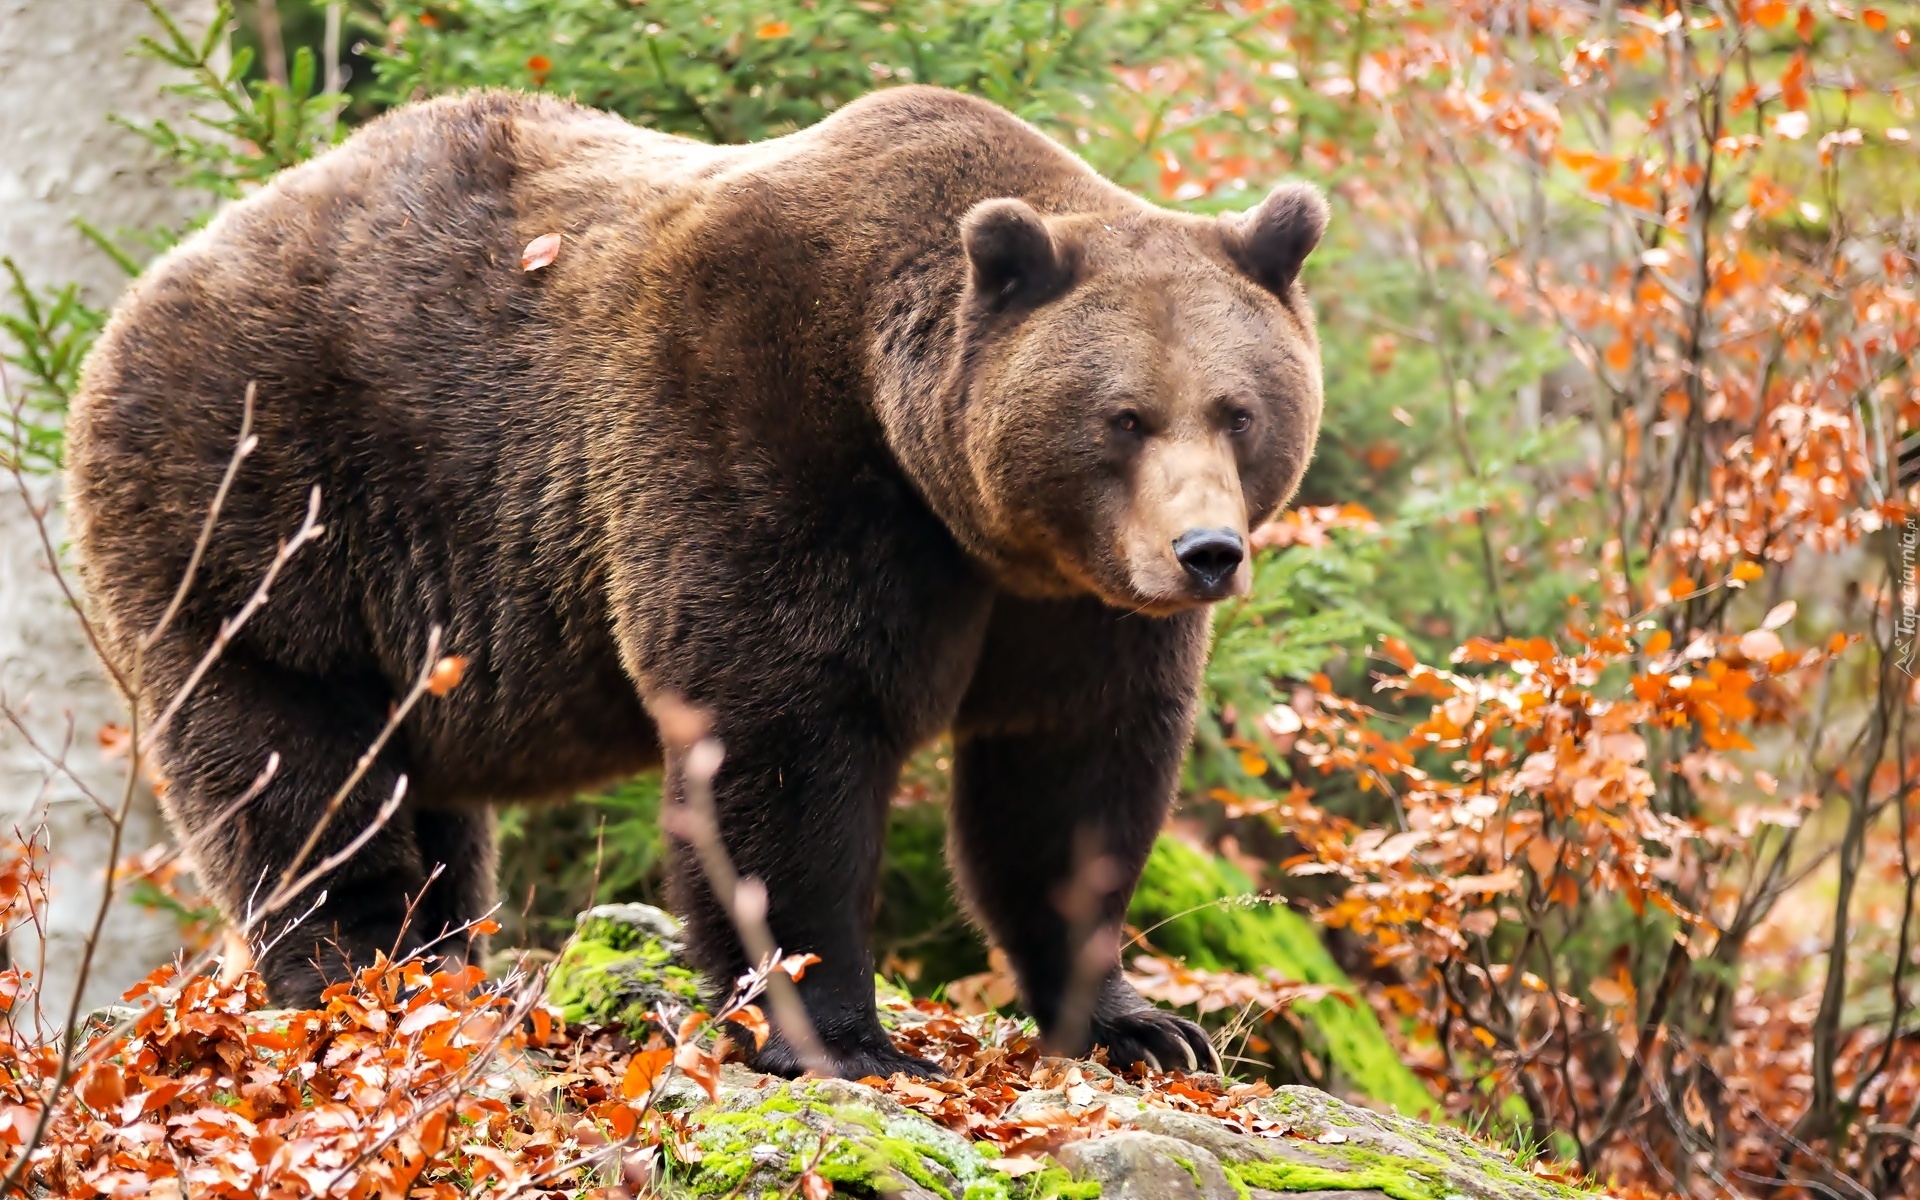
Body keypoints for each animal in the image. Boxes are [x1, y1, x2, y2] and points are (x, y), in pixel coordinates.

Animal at [67, 84, 1328, 1075]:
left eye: (1239, 409)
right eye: (1124, 417)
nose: (1205, 552)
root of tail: (146, 289)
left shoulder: (1067, 603)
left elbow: (1070, 779)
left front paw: (1141, 1023)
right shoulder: (762, 441)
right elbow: (780, 735)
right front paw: (839, 1038)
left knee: (420, 791)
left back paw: (445, 964)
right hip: (266, 494)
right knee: (290, 755)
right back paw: (363, 975)